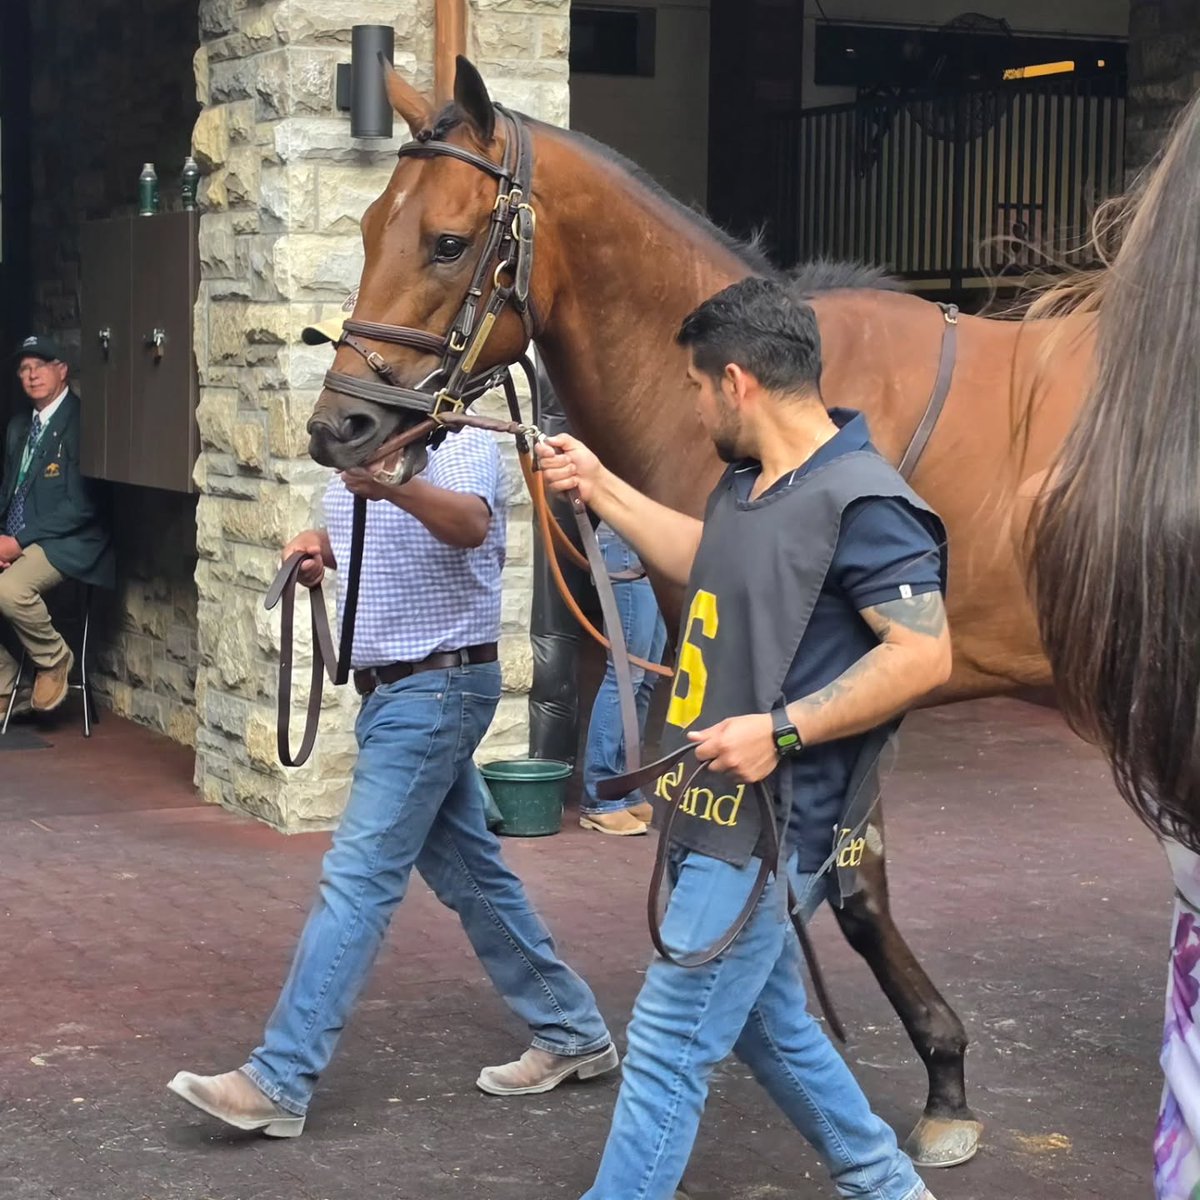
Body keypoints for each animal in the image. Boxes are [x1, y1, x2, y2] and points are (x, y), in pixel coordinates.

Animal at [302, 54, 1100, 1169]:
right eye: (373, 224)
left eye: (448, 242)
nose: (340, 427)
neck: (792, 411)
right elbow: (841, 888)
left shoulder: (830, 688)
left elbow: (833, 885)